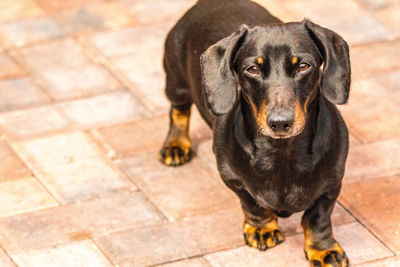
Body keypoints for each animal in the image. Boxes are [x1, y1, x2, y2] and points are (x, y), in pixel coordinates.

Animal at [159, 0, 350, 266]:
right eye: (252, 69)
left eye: (303, 66)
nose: (280, 123)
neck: (283, 153)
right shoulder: (233, 179)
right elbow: (253, 205)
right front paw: (262, 228)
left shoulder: (331, 185)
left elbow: (317, 219)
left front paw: (323, 249)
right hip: (176, 83)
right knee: (179, 110)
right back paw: (176, 145)